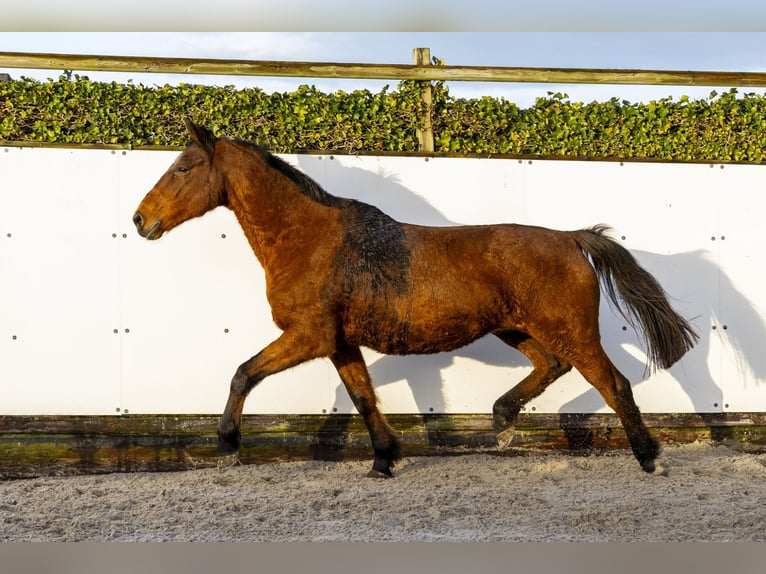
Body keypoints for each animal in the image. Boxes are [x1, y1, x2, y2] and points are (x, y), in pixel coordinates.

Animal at [134, 119, 704, 480]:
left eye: (183, 167)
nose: (140, 220)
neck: (309, 239)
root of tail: (571, 238)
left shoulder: (309, 335)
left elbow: (243, 373)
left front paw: (227, 446)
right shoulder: (338, 342)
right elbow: (363, 397)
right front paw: (386, 459)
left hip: (570, 330)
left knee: (614, 383)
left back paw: (650, 458)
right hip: (518, 327)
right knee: (553, 365)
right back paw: (501, 421)